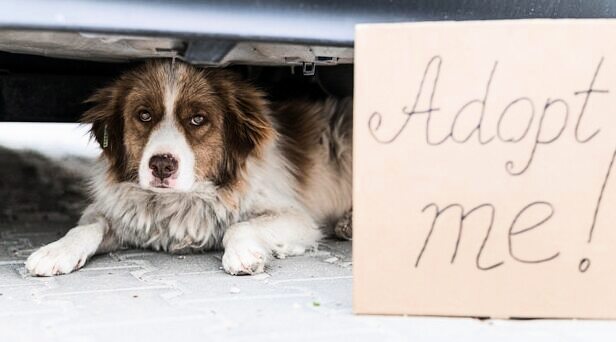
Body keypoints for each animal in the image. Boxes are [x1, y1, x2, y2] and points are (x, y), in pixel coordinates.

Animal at [25, 60, 352, 276]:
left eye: (198, 119)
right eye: (144, 115)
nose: (161, 165)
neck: (180, 200)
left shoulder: (296, 216)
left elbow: (239, 225)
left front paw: (245, 252)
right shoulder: (121, 213)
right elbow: (86, 227)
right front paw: (57, 250)